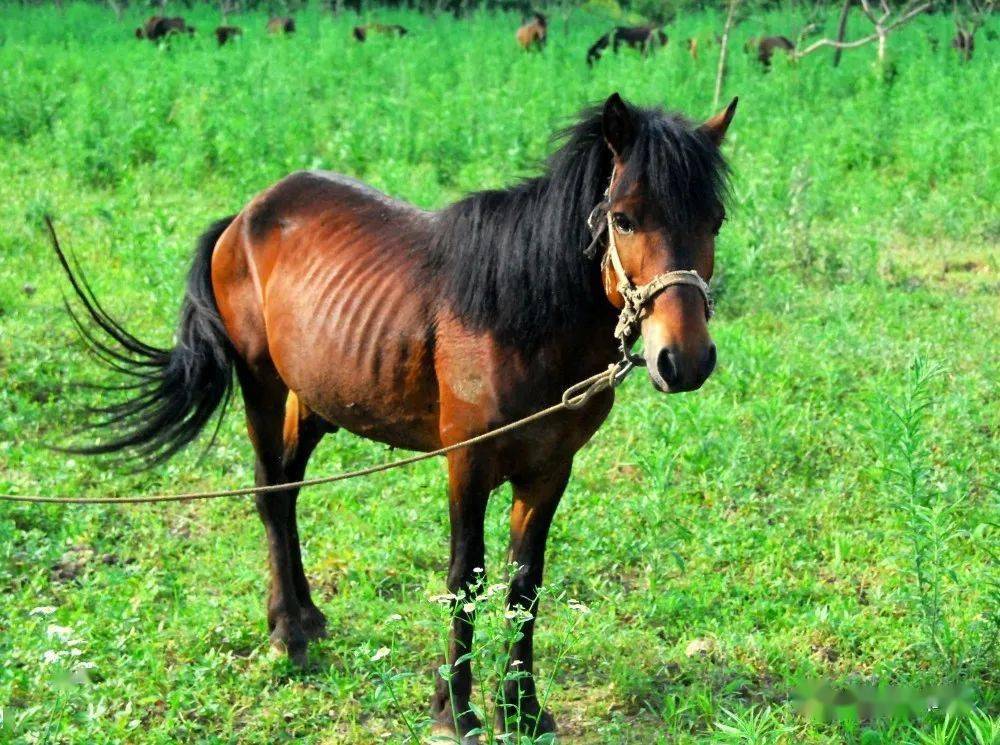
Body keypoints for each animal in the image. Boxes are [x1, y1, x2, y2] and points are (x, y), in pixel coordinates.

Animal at [56, 91, 736, 740]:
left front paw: (522, 709)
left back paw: (306, 614)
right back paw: (288, 633)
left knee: (290, 487)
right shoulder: (467, 462)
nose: (684, 360)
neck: (521, 316)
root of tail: (245, 216)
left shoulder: (549, 469)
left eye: (715, 220)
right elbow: (465, 577)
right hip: (261, 382)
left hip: (317, 398)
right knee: (271, 490)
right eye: (623, 219)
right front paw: (454, 711)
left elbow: (525, 584)